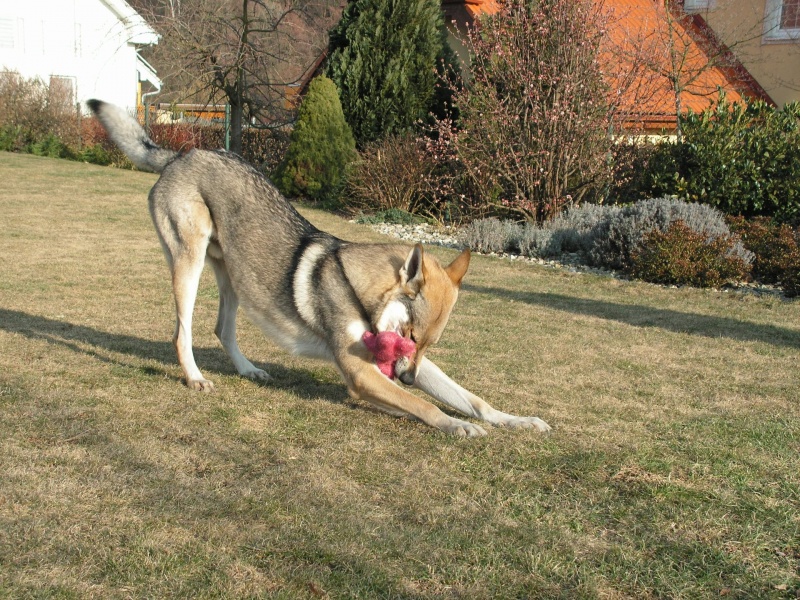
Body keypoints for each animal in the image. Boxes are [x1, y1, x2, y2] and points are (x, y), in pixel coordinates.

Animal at [86, 99, 552, 436]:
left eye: (424, 343)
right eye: (408, 335)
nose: (405, 377)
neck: (361, 291)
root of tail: (182, 154)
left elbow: (474, 400)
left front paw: (516, 420)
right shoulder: (360, 372)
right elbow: (426, 406)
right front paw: (455, 425)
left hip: (234, 276)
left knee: (221, 330)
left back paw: (249, 370)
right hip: (190, 265)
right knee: (181, 334)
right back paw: (195, 378)